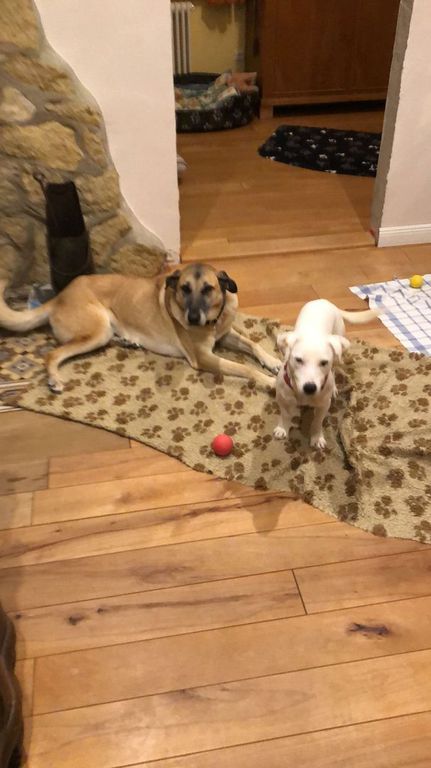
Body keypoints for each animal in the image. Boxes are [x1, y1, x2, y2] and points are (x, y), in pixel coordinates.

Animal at [0, 263, 280, 393]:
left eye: (208, 289)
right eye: (184, 289)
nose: (191, 319)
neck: (213, 320)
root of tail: (58, 297)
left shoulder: (225, 333)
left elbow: (253, 344)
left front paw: (273, 361)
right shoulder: (204, 357)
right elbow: (245, 368)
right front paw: (269, 380)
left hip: (103, 331)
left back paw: (128, 340)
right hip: (97, 329)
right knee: (52, 354)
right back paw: (54, 379)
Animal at [273, 299, 379, 449]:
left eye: (323, 362)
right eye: (298, 360)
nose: (310, 388)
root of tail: (325, 301)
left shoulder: (323, 405)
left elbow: (317, 422)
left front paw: (317, 437)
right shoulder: (282, 398)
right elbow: (284, 414)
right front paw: (282, 428)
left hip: (337, 349)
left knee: (334, 370)